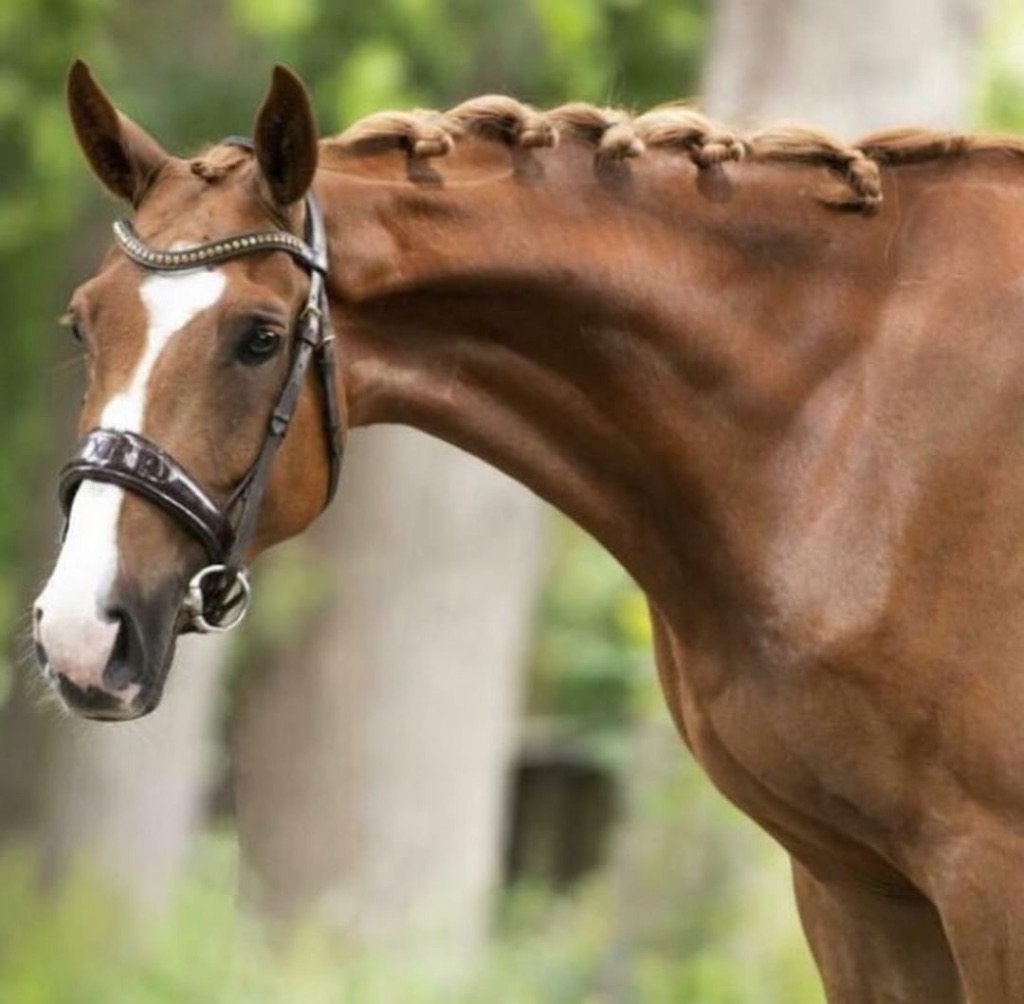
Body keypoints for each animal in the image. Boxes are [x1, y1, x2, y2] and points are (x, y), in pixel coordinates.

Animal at [33, 59, 1024, 1001]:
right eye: (82, 324)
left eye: (260, 337)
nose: (82, 632)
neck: (841, 416)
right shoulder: (855, 889)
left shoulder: (985, 879)